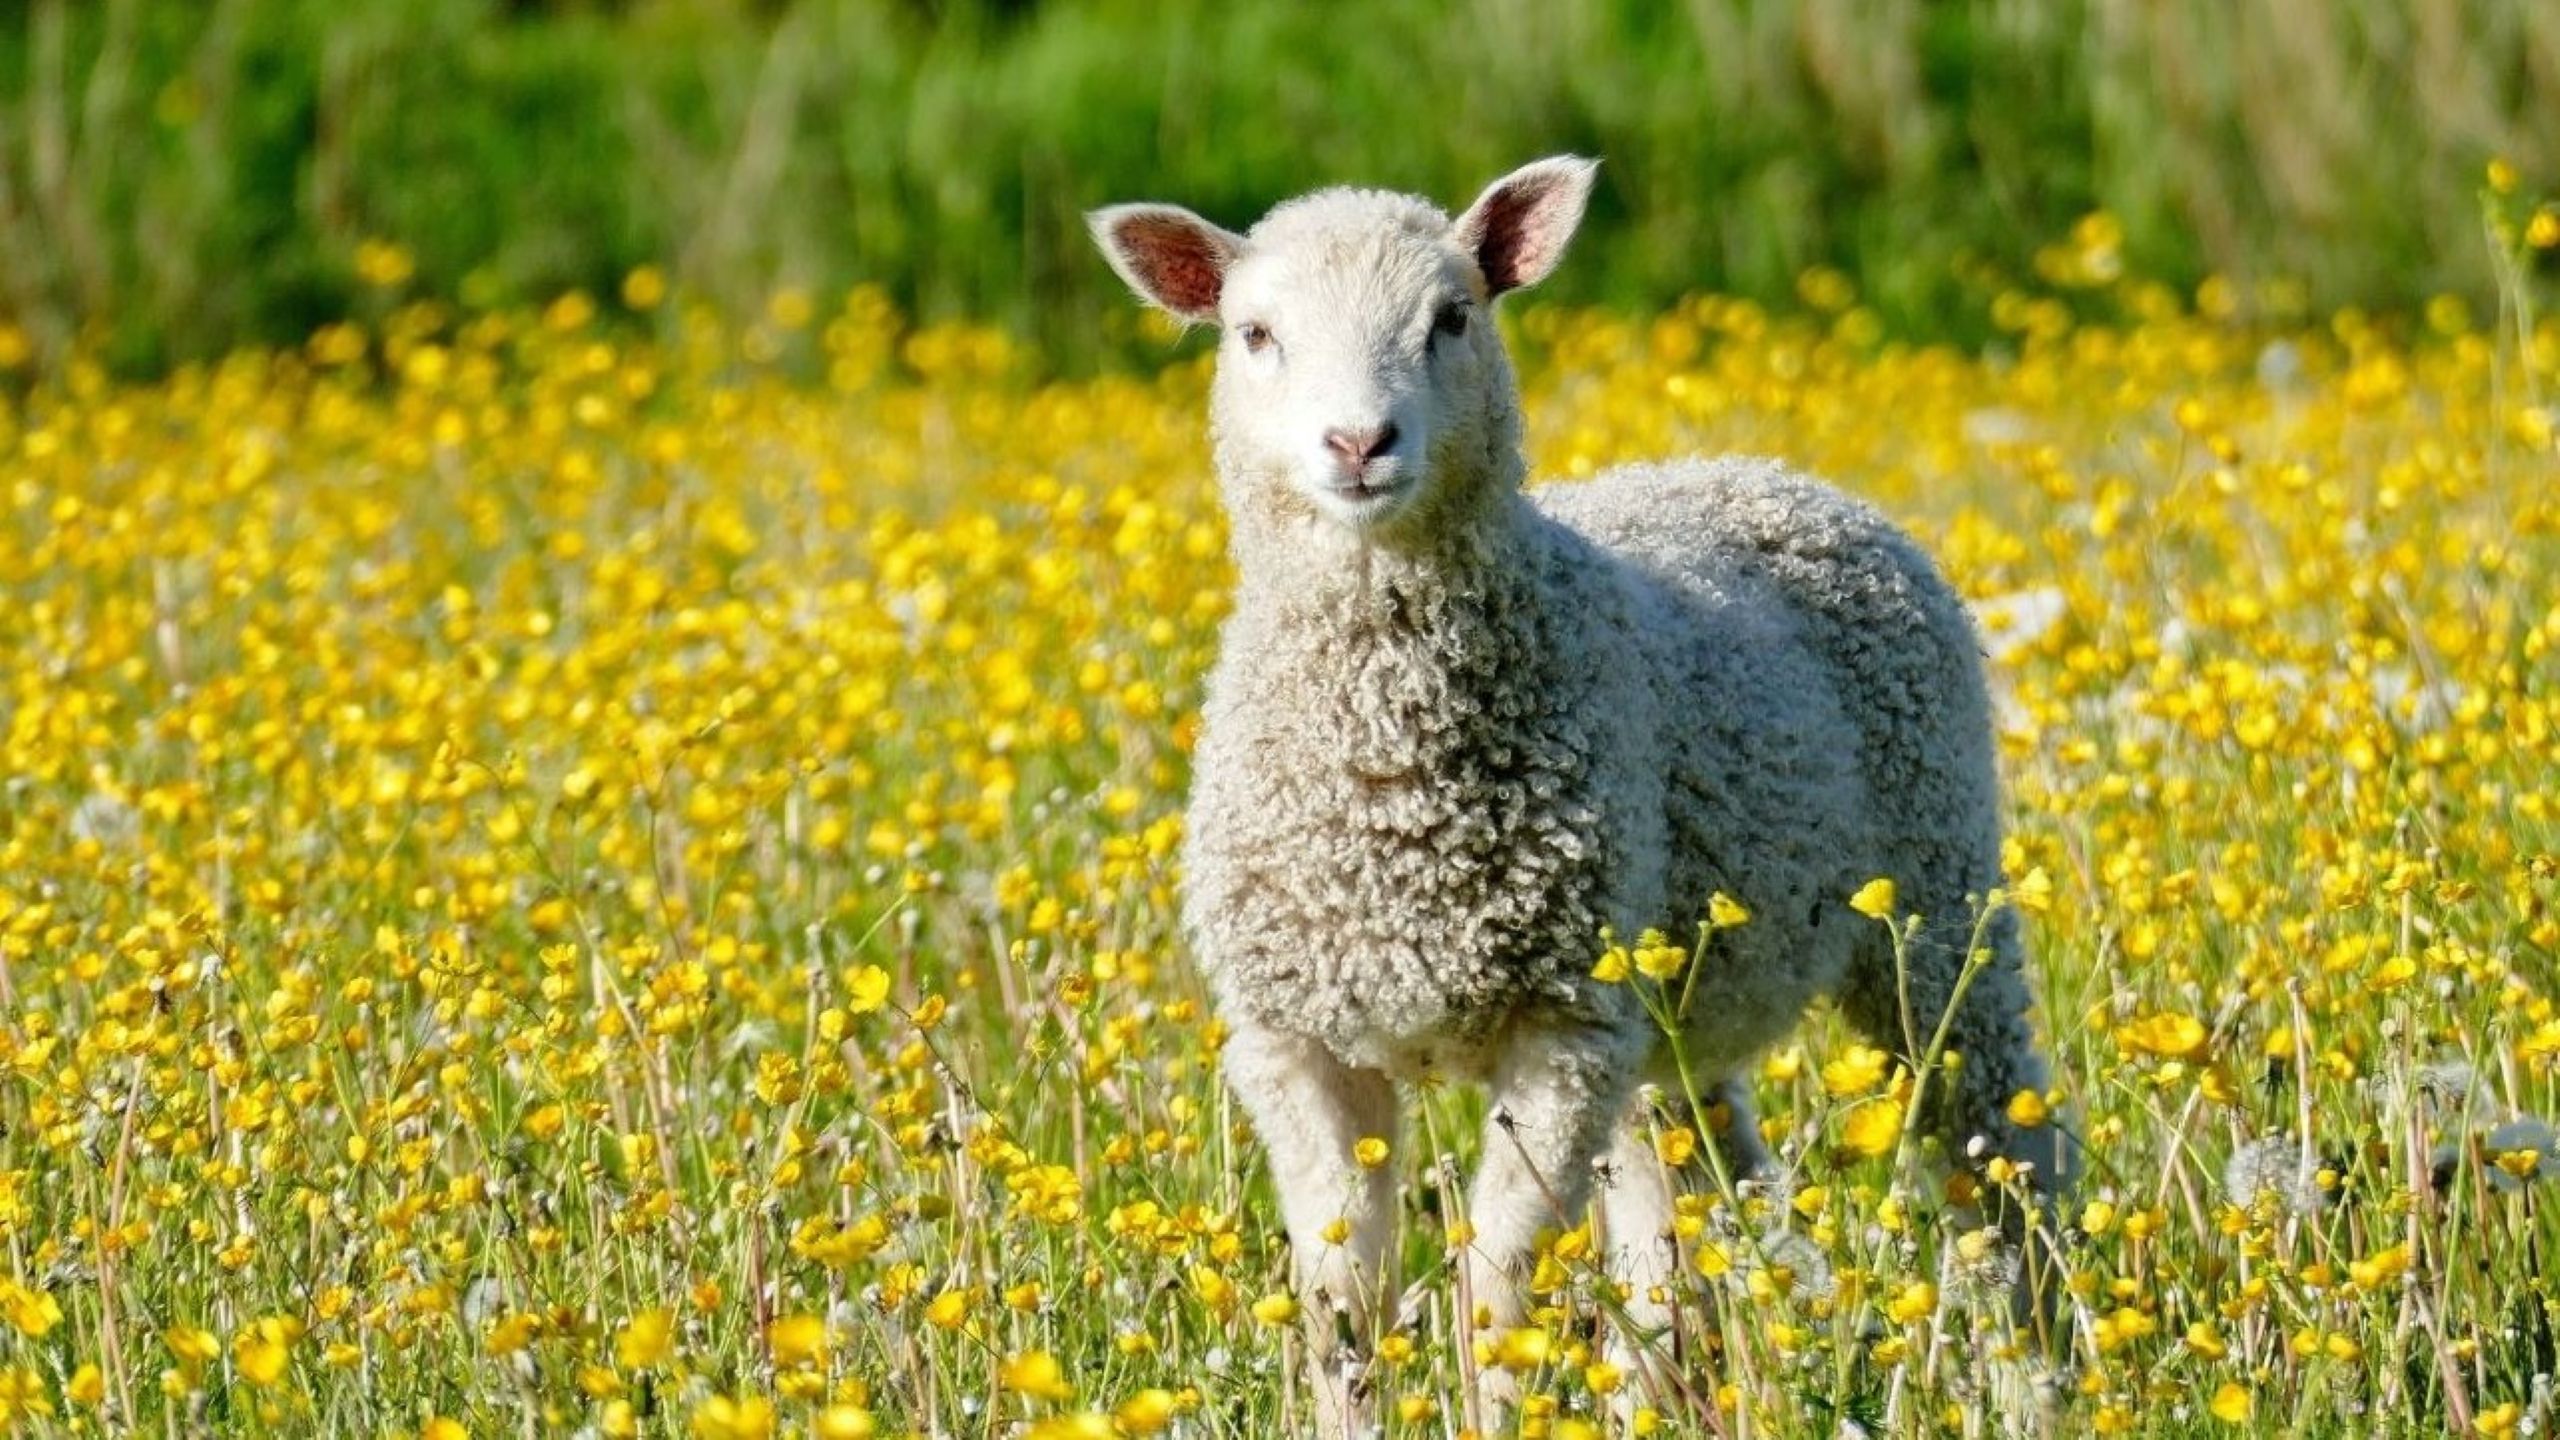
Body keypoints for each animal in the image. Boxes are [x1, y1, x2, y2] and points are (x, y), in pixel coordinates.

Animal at [1090, 157, 2075, 1434]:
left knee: (1999, 1154)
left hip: (1935, 897)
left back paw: (2041, 1377)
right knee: (1694, 1204)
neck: (1388, 784)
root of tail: (1764, 472)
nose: (1358, 442)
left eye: (1452, 317)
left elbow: (1497, 1292)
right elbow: (1341, 1304)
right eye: (1253, 334)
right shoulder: (1296, 1038)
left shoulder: (1559, 1030)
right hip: (1670, 1007)